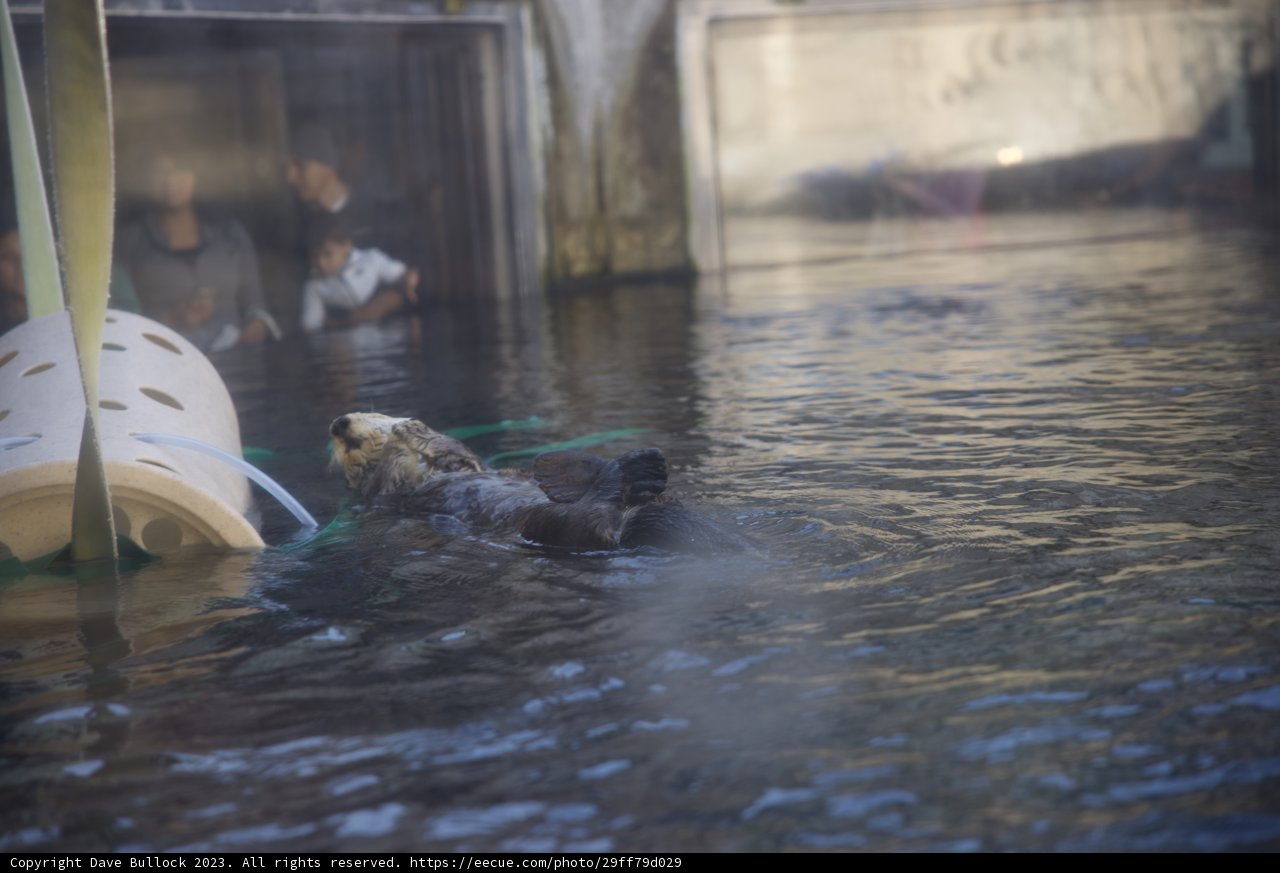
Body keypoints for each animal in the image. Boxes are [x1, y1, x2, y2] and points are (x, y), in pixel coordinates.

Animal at [328, 413, 748, 554]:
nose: (339, 424)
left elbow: (457, 454)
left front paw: (408, 429)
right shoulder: (387, 492)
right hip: (548, 526)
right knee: (593, 518)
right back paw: (623, 469)